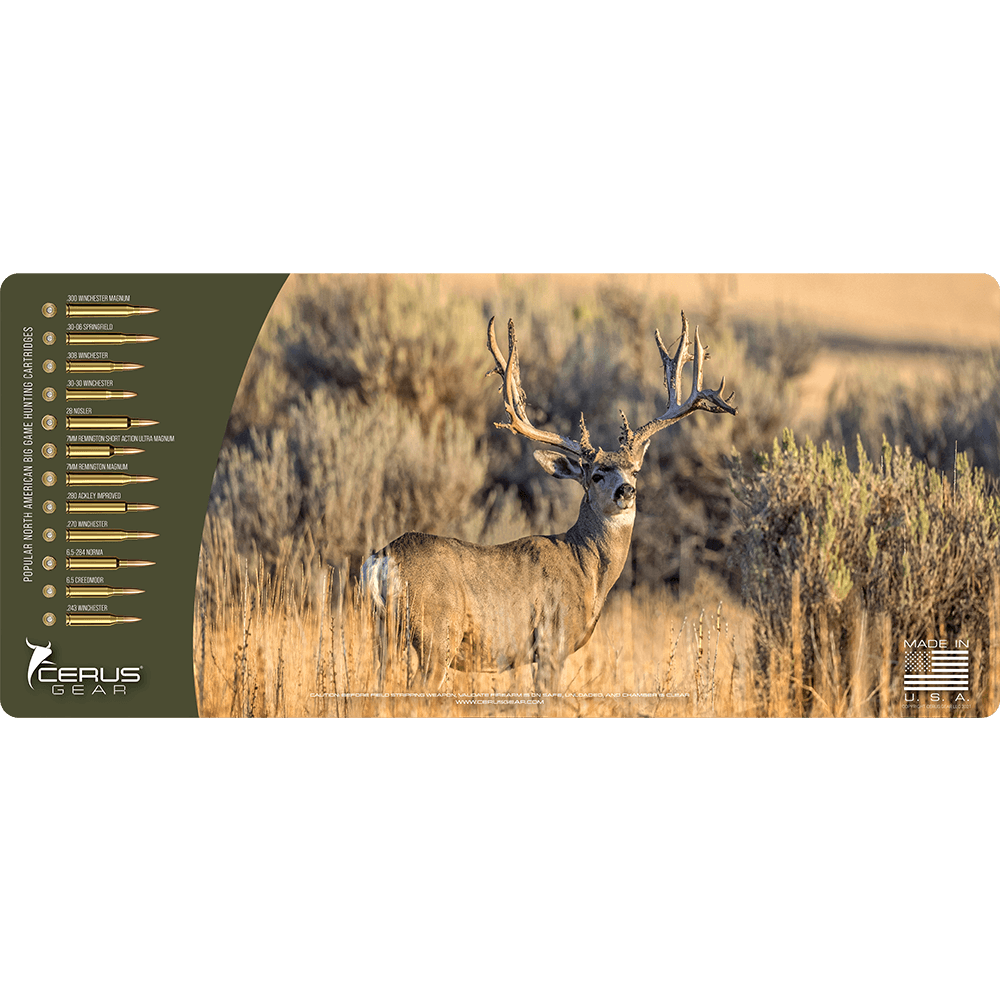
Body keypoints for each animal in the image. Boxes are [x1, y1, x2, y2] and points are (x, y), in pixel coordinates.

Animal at [361, 312, 737, 676]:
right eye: (596, 475)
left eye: (635, 470)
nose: (626, 491)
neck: (586, 570)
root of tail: (381, 561)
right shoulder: (552, 640)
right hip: (437, 636)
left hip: (384, 636)